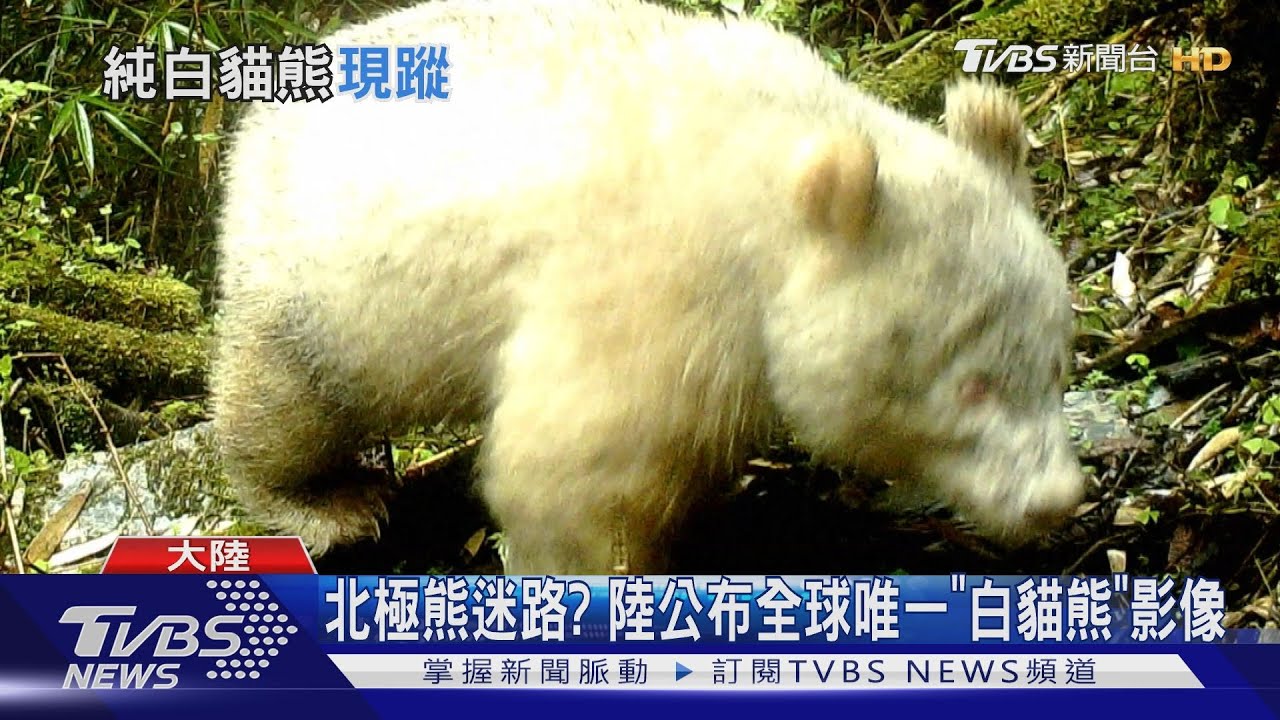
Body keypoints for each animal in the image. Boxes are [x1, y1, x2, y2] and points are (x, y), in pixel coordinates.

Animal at [208, 0, 1085, 575]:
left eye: (1056, 365)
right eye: (972, 384)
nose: (1055, 498)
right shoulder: (661, 276)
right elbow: (577, 459)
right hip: (317, 270)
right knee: (287, 396)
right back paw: (327, 503)